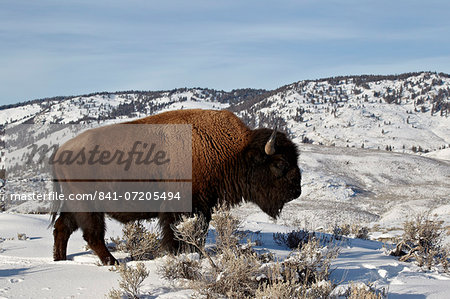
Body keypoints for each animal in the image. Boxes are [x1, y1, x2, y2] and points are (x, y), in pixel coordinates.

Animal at [51, 109, 300, 264]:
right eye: (280, 163)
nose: (296, 191)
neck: (232, 151)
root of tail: (61, 151)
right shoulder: (182, 207)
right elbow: (178, 234)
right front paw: (180, 254)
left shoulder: (203, 207)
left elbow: (198, 233)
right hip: (88, 206)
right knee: (92, 235)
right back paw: (113, 263)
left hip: (75, 204)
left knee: (62, 228)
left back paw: (60, 259)